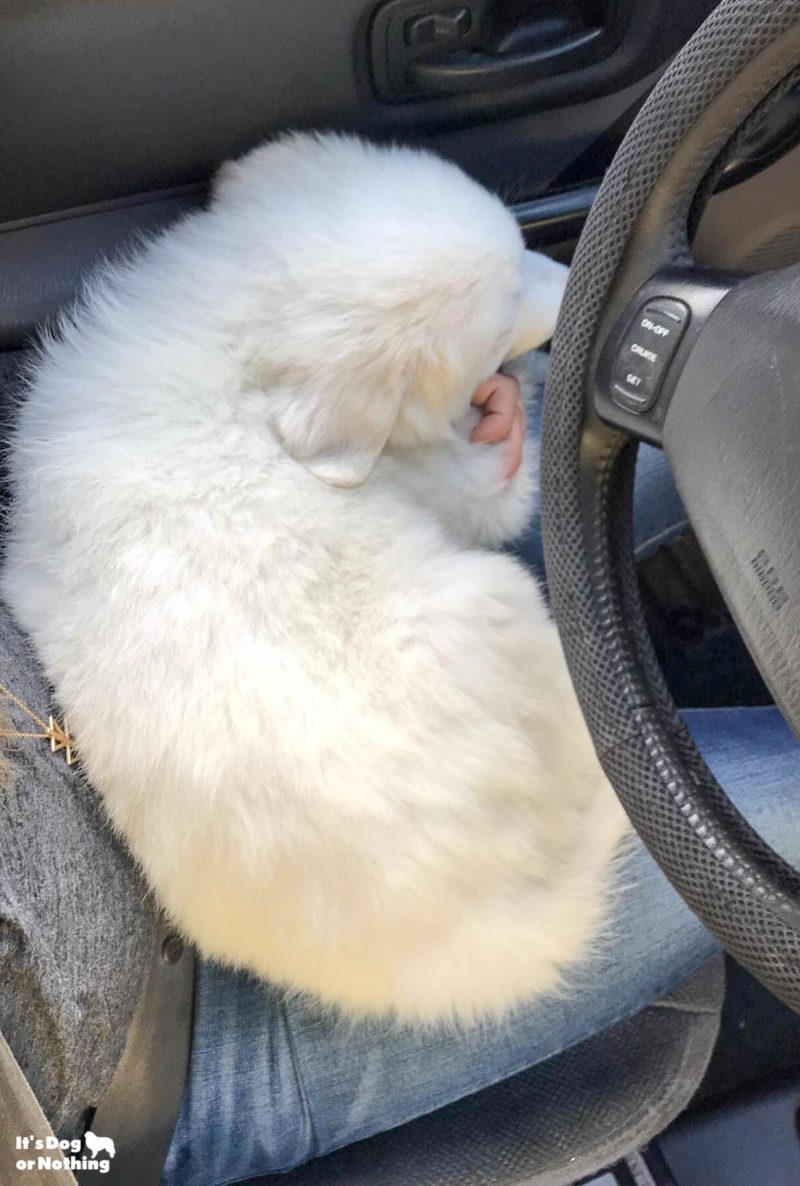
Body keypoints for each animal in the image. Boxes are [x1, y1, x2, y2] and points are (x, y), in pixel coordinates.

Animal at [3, 132, 630, 1019]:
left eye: (519, 245)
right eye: (506, 310)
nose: (577, 276)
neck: (237, 345)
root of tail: (487, 932)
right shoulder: (447, 483)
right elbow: (491, 485)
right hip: (504, 602)